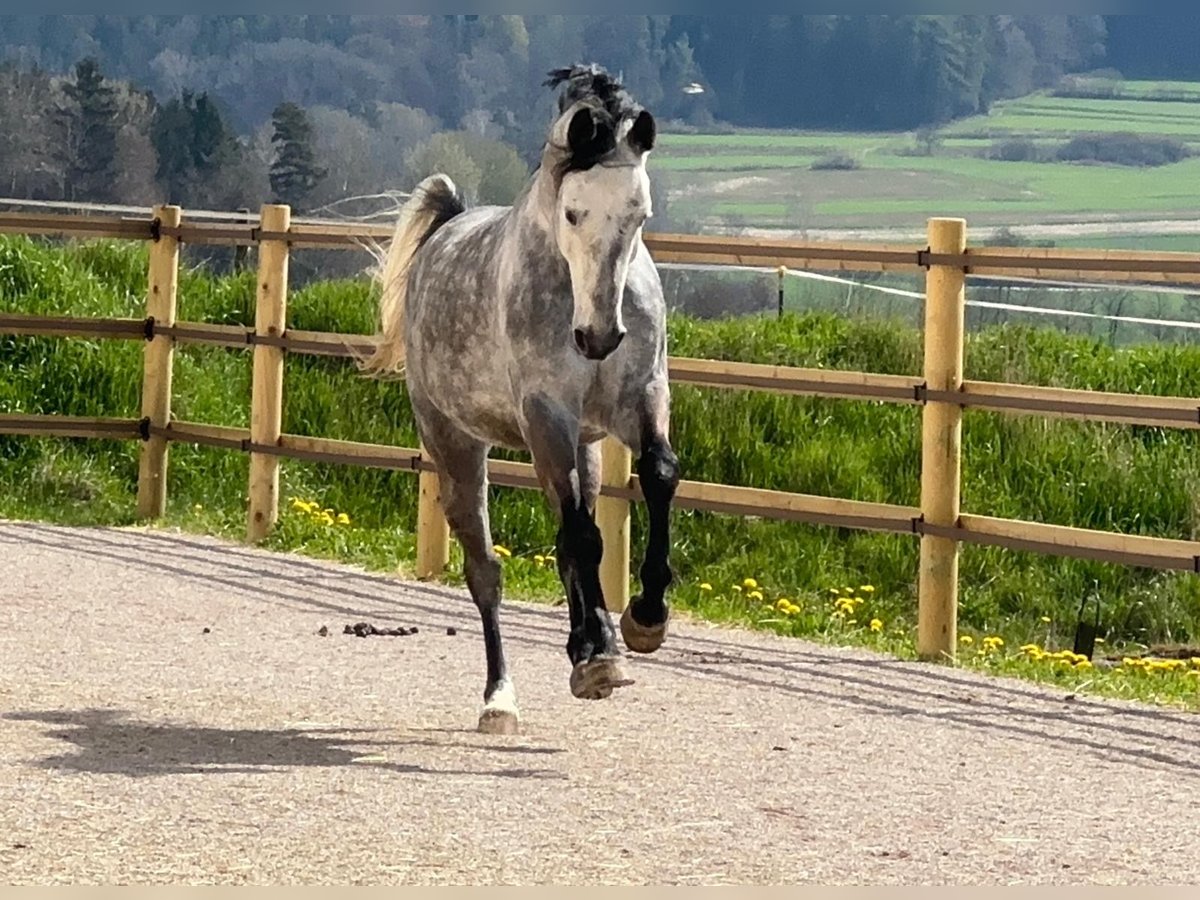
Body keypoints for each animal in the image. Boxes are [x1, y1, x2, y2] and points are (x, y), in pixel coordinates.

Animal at [360, 64, 680, 735]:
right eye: (573, 213)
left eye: (639, 213)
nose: (599, 337)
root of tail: (445, 229)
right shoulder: (545, 416)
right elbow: (580, 537)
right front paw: (600, 659)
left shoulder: (641, 399)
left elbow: (656, 479)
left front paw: (645, 621)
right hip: (456, 445)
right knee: (487, 572)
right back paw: (500, 699)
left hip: (583, 447)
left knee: (571, 536)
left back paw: (590, 643)